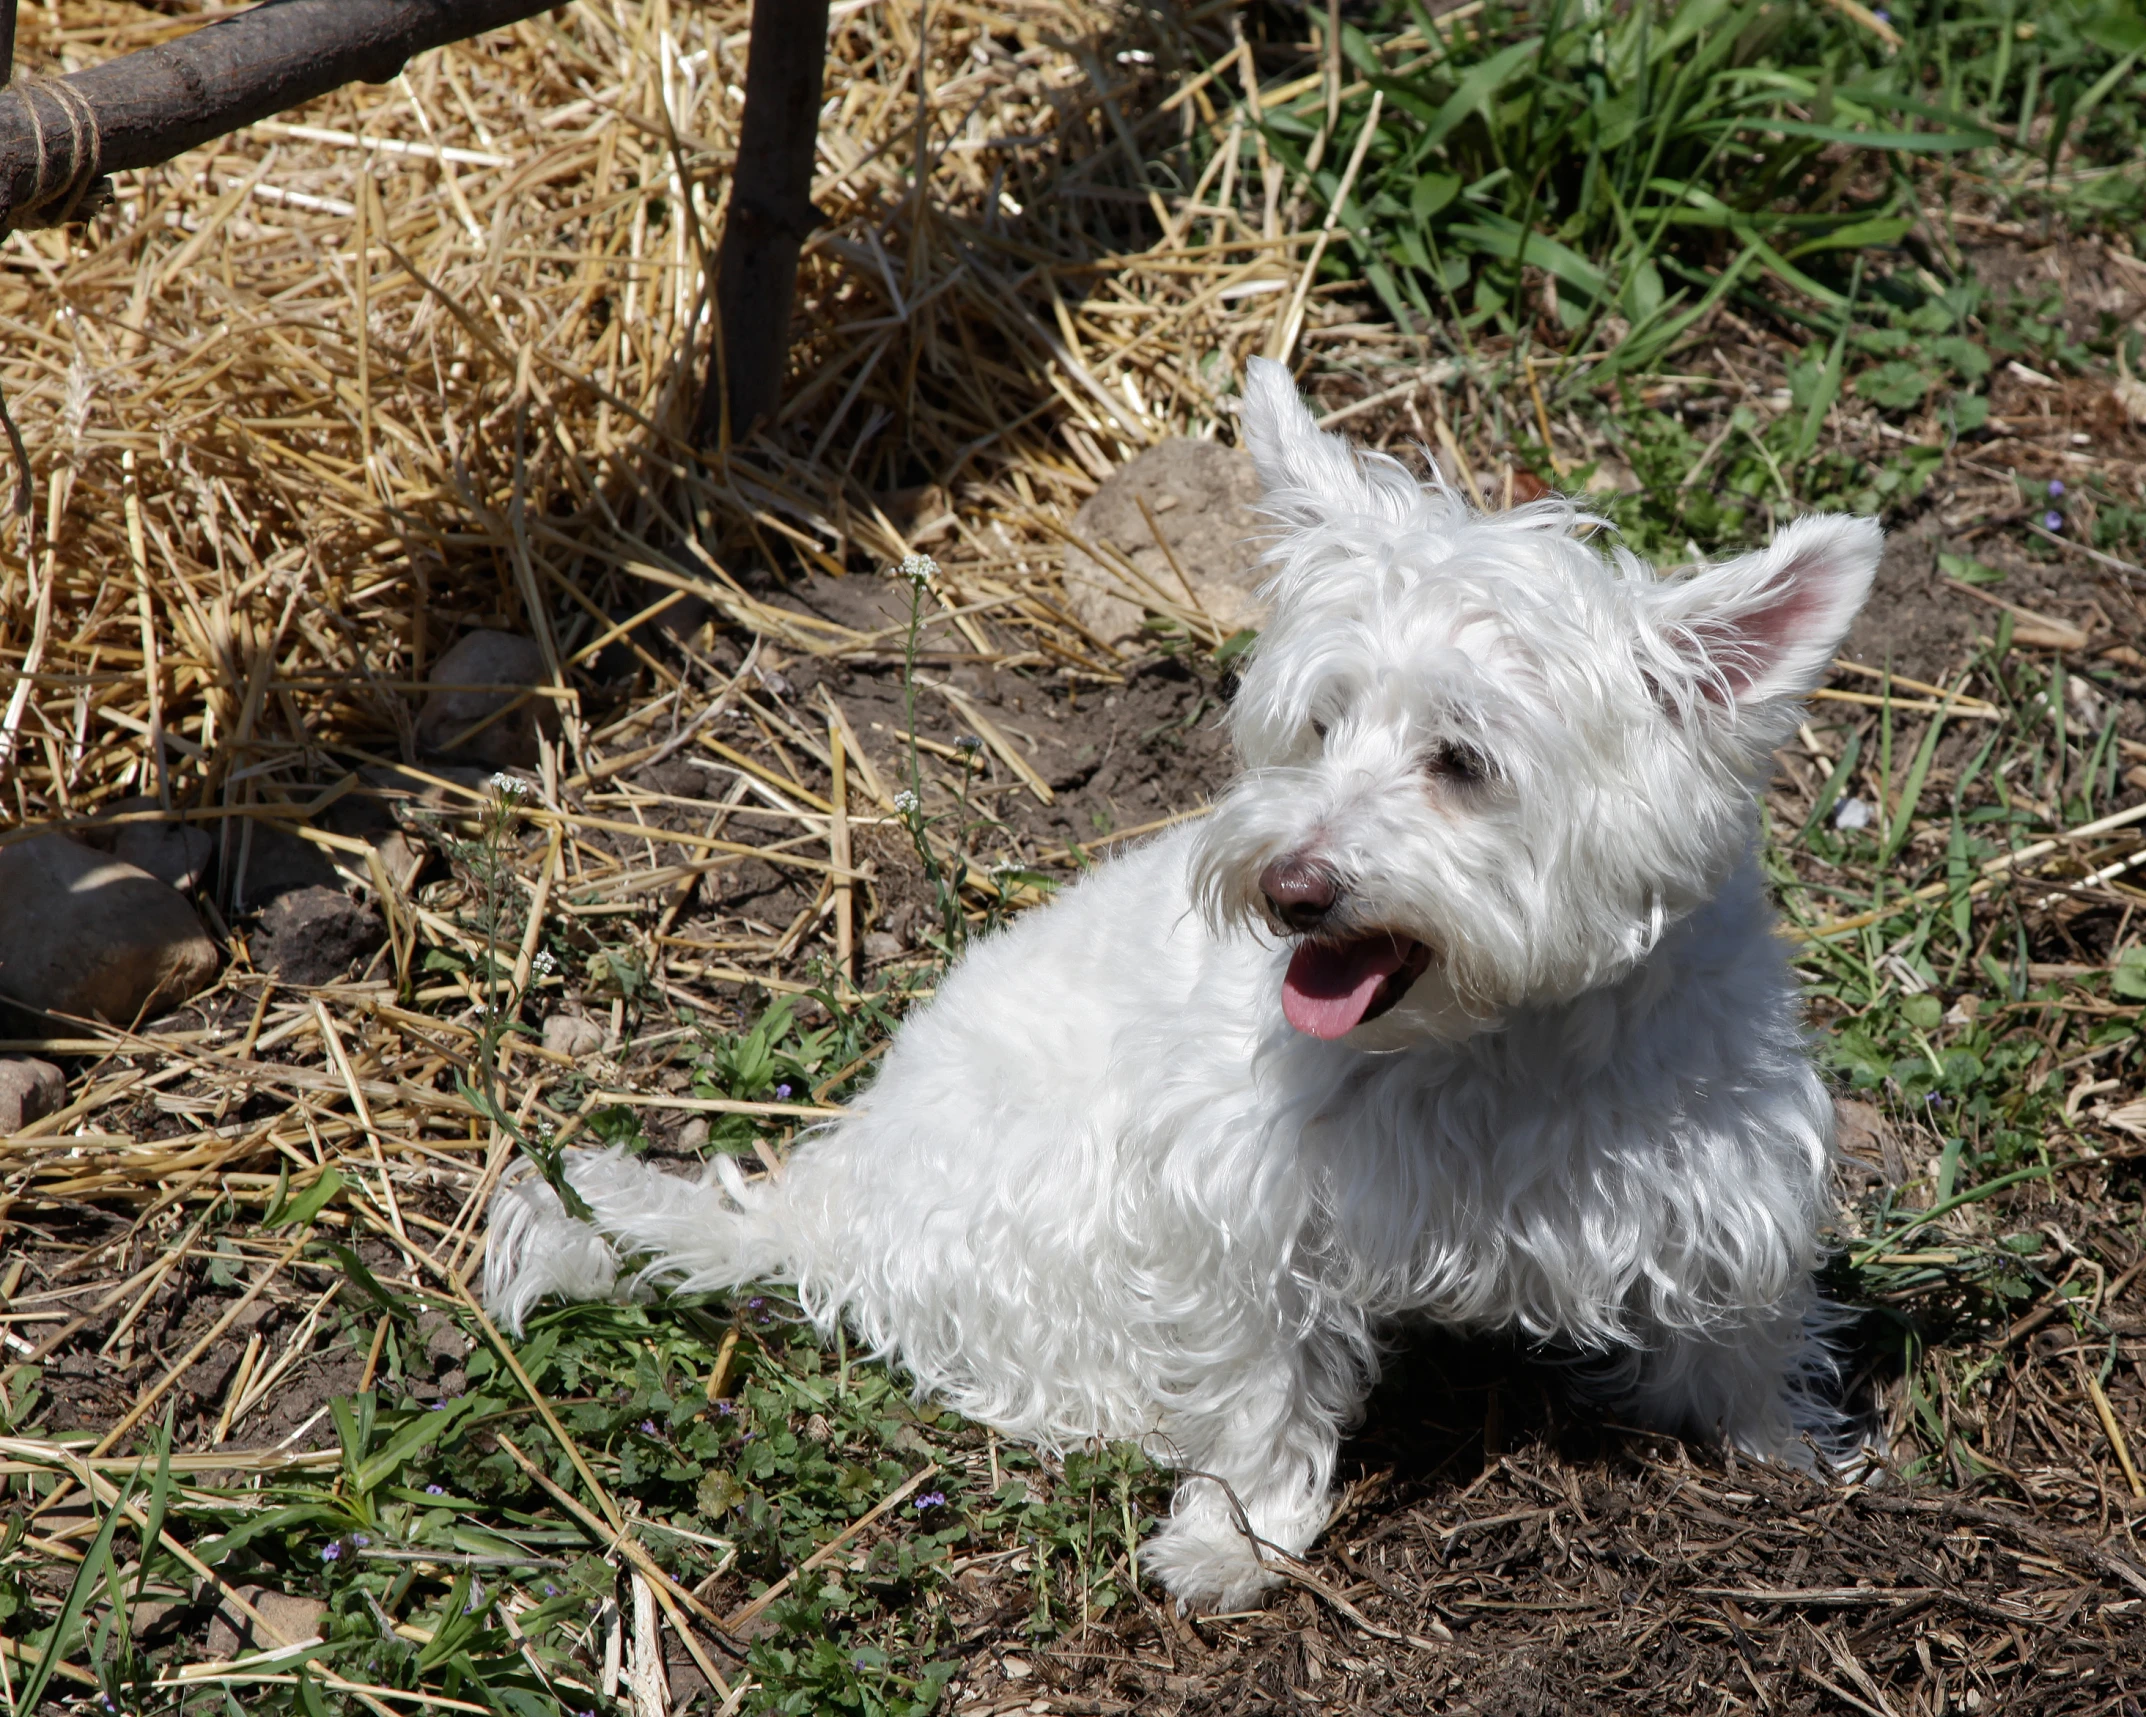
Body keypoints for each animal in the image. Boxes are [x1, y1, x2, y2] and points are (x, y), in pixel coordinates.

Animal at [491, 358, 1879, 1613]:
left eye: (1462, 759)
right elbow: (1263, 1393)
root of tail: (825, 1194)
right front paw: (1235, 1539)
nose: (1292, 885)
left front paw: (1786, 1452)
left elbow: (1740, 1329)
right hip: (1044, 1205)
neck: (1498, 1038)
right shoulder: (1244, 1207)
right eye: (1319, 724)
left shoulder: (1719, 1159)